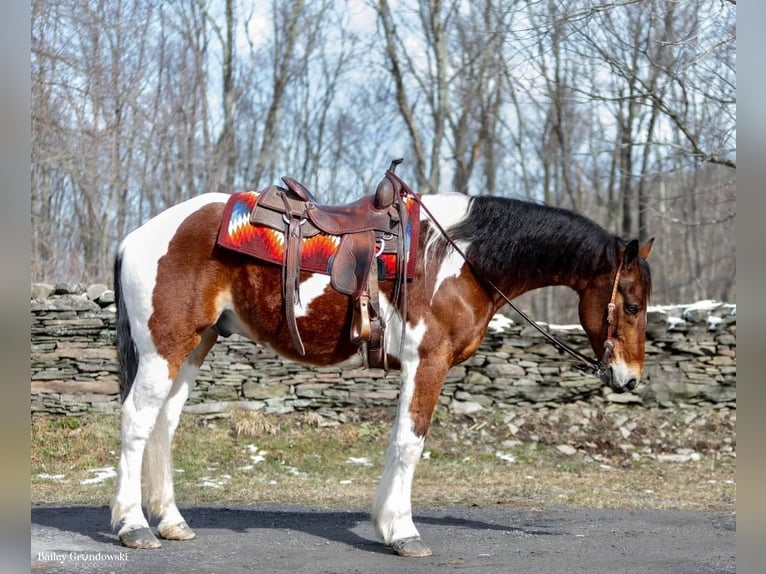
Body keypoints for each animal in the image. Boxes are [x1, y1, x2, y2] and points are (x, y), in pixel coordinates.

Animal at [111, 178, 656, 560]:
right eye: (631, 305)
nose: (628, 377)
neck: (460, 260)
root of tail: (136, 237)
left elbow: (401, 442)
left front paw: (388, 524)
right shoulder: (428, 362)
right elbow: (410, 442)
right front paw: (402, 531)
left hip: (193, 346)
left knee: (163, 425)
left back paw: (171, 521)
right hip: (164, 349)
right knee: (137, 422)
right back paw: (133, 526)